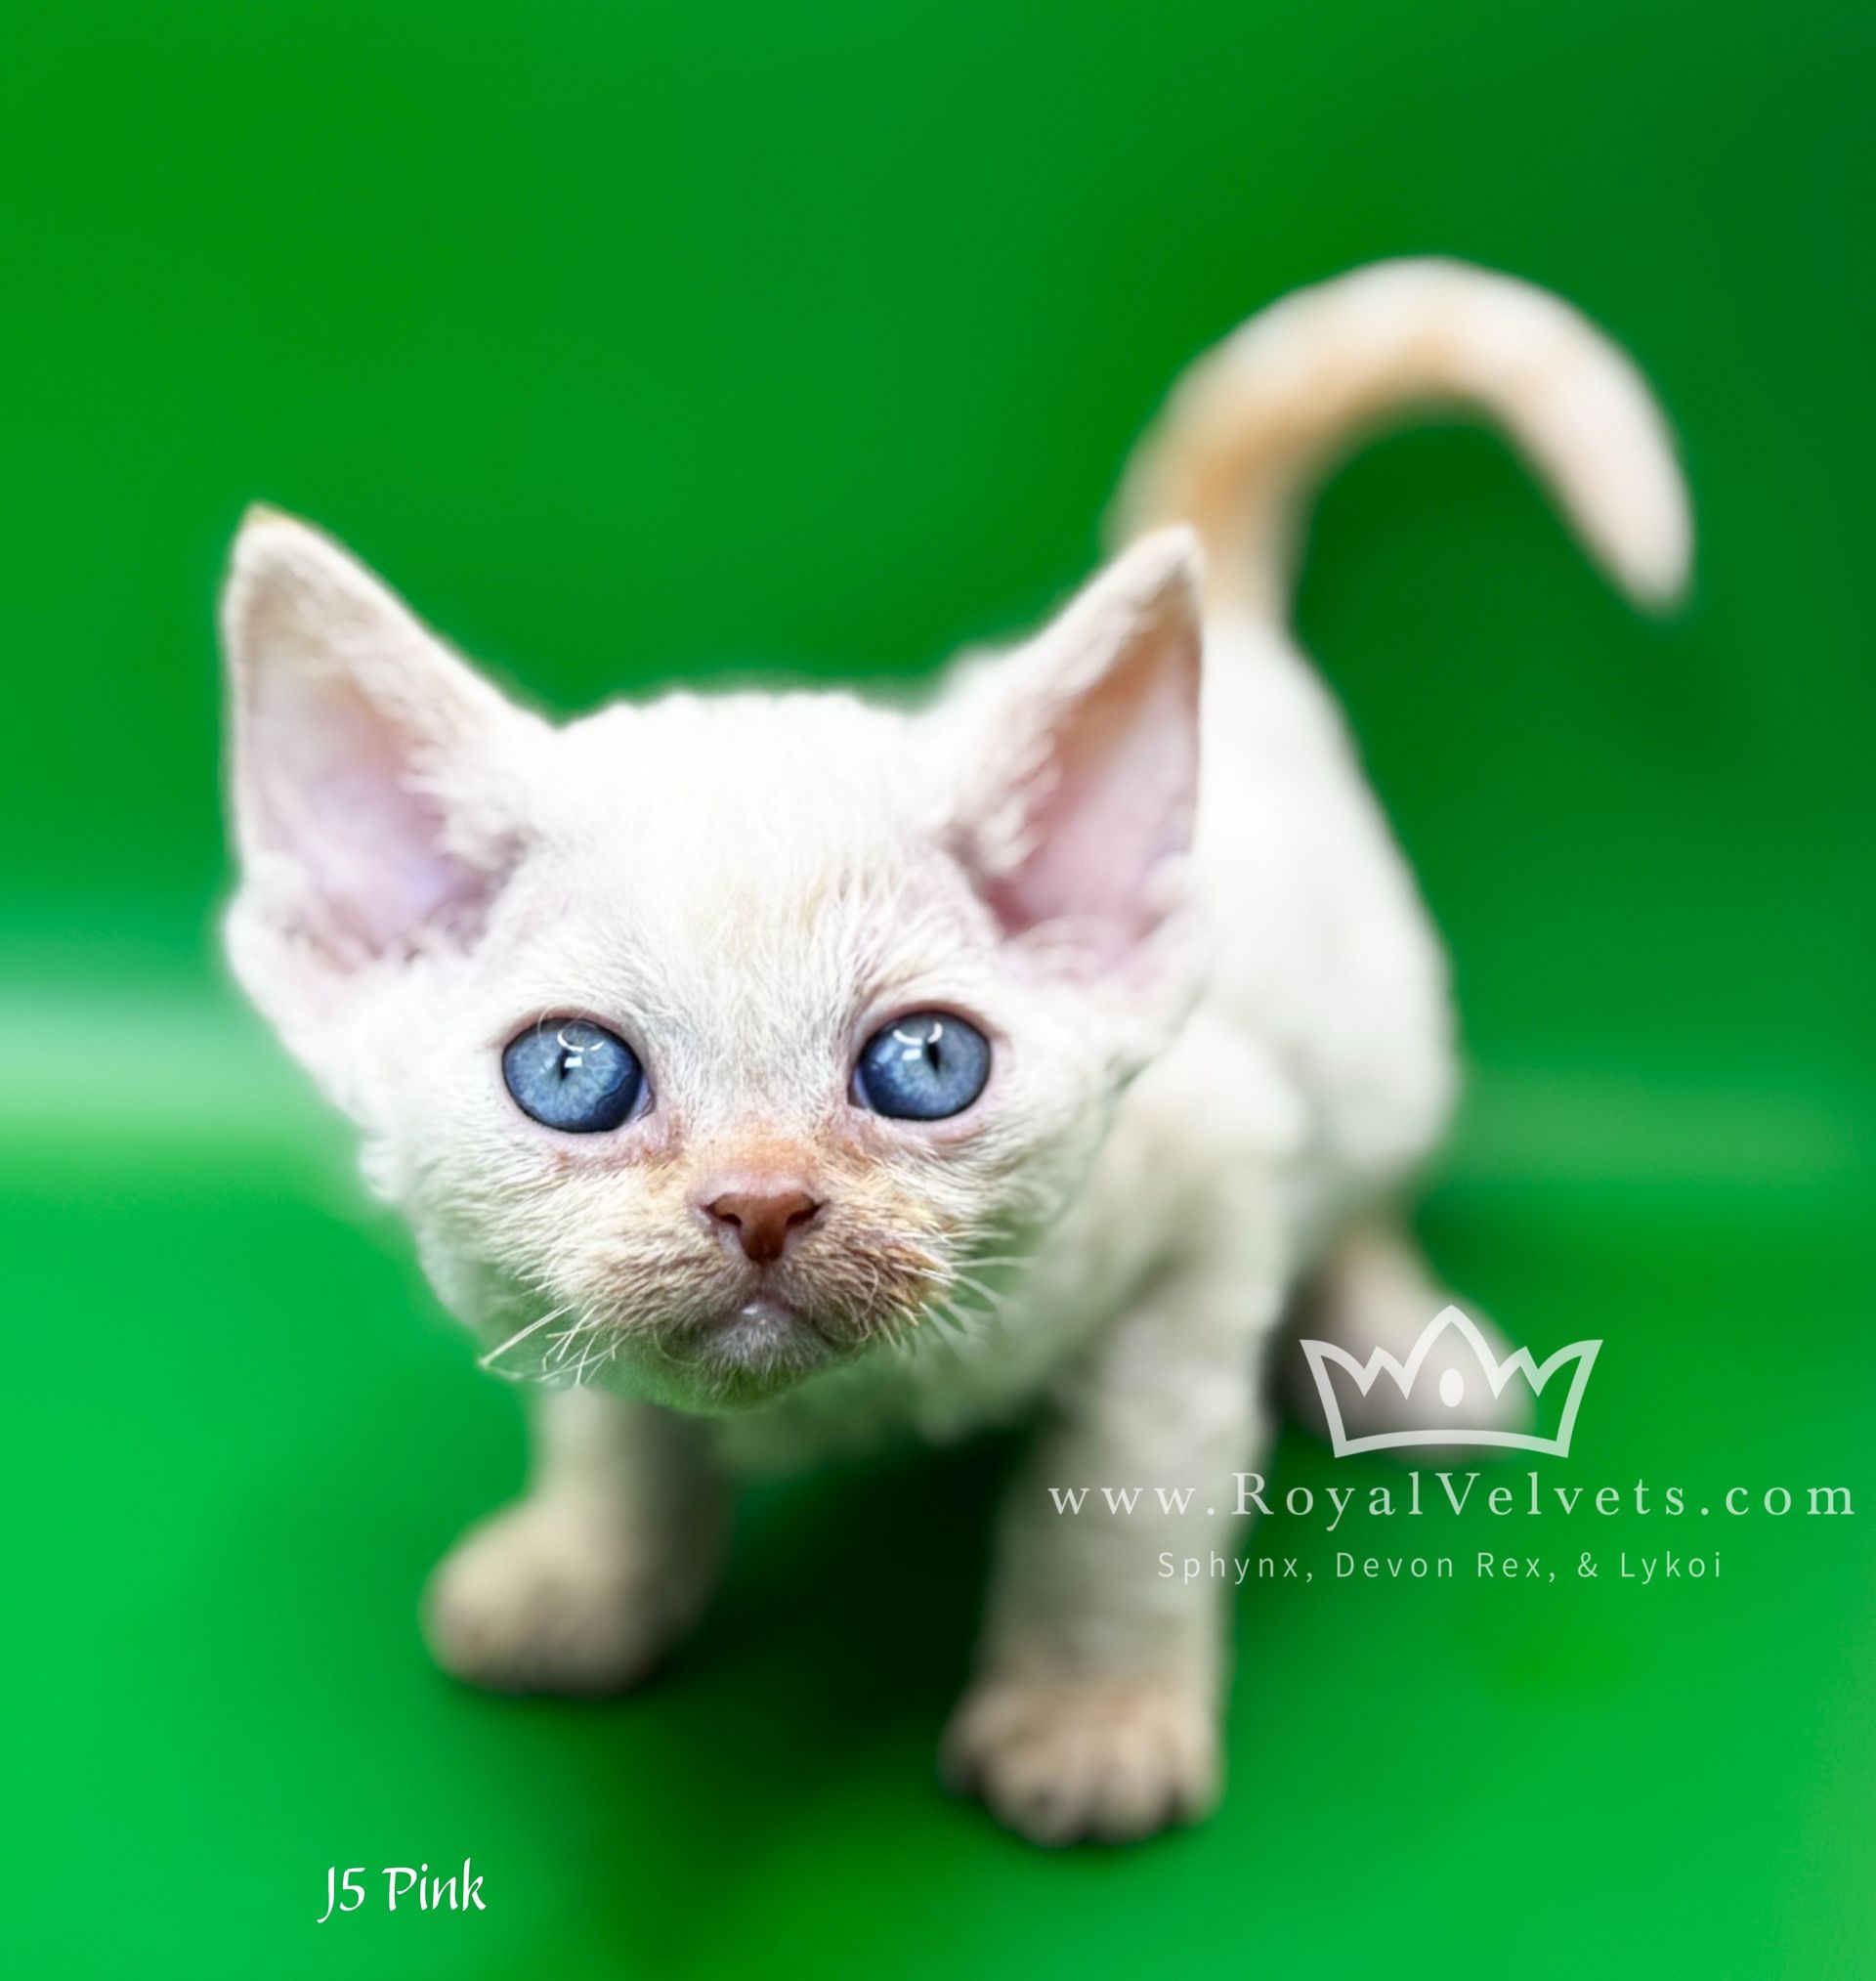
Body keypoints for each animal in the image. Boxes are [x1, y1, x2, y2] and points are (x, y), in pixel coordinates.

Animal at [221, 259, 1688, 1844]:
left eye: (923, 1064)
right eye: (573, 1074)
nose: (761, 1201)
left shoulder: (1208, 1197)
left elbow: (1122, 1505)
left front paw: (1090, 1718)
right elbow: (615, 1427)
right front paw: (586, 1574)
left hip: (1382, 1040)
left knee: (1358, 1182)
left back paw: (1398, 1358)